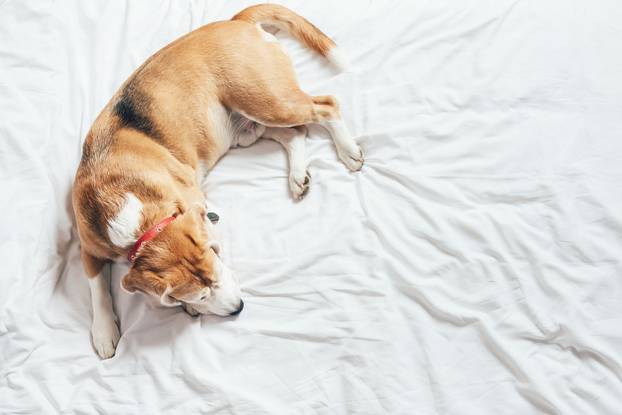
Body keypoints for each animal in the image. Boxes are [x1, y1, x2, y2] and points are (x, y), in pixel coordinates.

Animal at [72, 3, 366, 360]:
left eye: (218, 263)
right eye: (199, 295)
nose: (238, 308)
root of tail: (234, 22)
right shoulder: (88, 247)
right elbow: (96, 288)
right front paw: (104, 332)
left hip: (266, 101)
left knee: (326, 107)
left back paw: (348, 150)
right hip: (249, 128)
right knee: (295, 134)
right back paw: (298, 176)